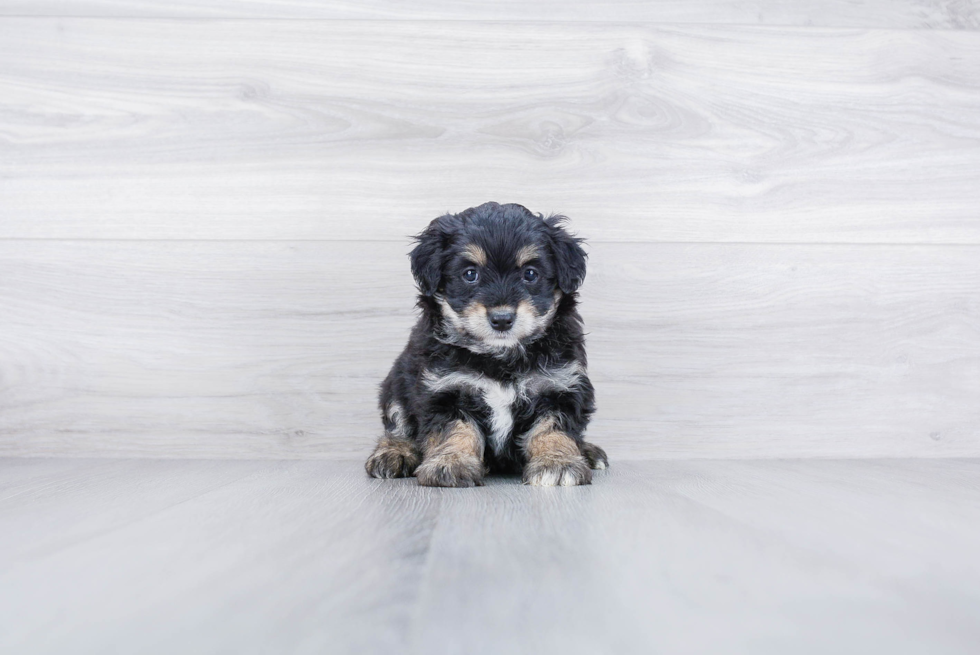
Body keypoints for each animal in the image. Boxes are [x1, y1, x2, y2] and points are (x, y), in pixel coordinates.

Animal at [364, 204, 604, 486]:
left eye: (530, 274)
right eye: (470, 274)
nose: (502, 319)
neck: (499, 356)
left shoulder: (561, 385)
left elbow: (553, 429)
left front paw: (557, 461)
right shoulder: (446, 388)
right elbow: (456, 429)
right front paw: (451, 462)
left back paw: (588, 451)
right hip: (395, 385)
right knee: (398, 424)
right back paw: (393, 453)